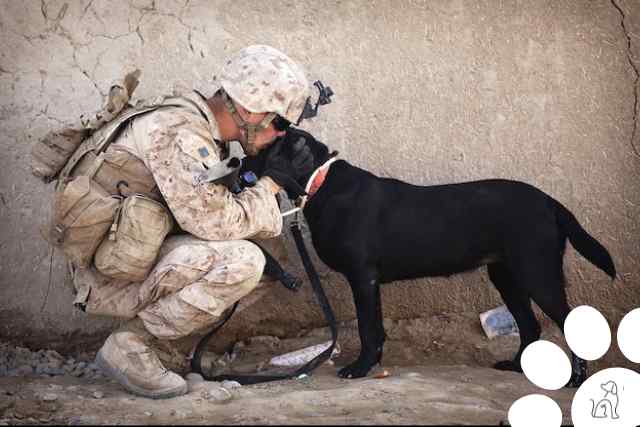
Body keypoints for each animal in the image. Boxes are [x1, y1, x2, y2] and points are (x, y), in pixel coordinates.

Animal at [241, 129, 616, 386]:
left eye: (264, 149)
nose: (239, 161)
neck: (322, 182)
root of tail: (549, 201)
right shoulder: (370, 281)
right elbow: (376, 328)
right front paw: (373, 364)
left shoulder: (362, 277)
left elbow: (366, 327)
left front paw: (360, 368)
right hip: (506, 275)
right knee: (529, 325)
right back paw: (518, 366)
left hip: (537, 273)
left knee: (565, 322)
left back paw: (576, 380)